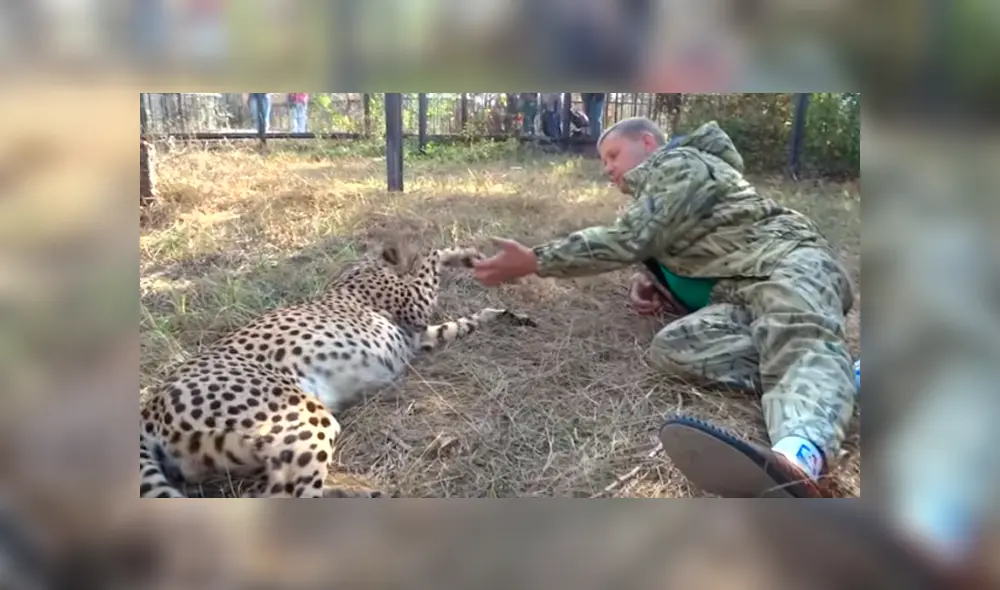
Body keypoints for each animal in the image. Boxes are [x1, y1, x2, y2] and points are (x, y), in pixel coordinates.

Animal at [139, 242, 536, 498]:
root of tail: (151, 404)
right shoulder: (414, 304)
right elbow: (431, 257)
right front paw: (460, 253)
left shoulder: (420, 335)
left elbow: (464, 320)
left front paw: (505, 312)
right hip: (302, 417)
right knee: (283, 497)